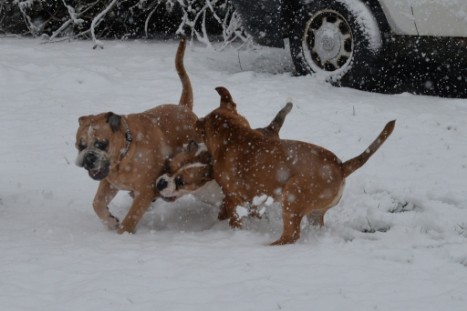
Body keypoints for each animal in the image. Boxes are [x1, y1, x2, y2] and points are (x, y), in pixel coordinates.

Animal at [194, 88, 394, 246]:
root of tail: (341, 166)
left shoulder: (233, 197)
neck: (233, 134)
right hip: (315, 212)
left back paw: (268, 246)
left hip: (292, 196)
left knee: (291, 236)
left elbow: (232, 217)